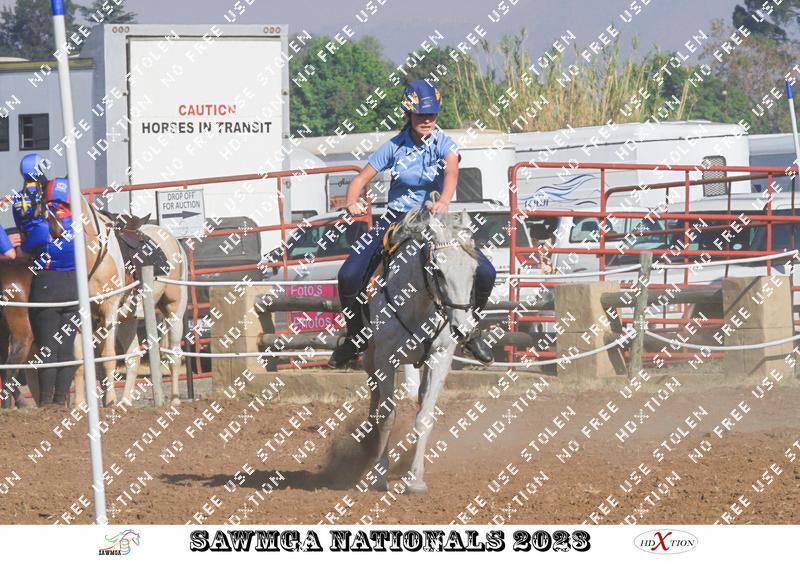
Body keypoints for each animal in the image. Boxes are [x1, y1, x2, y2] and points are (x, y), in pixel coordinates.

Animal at [72, 196, 188, 407]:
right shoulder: (78, 316)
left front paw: (110, 402)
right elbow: (80, 359)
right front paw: (79, 406)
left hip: (175, 309)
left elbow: (108, 356)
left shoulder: (109, 311)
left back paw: (175, 400)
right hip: (129, 319)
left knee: (174, 354)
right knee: (133, 356)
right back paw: (126, 402)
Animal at [355, 205, 479, 494]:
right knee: (375, 397)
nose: (463, 330)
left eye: (474, 272)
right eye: (439, 271)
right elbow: (387, 416)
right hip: (370, 356)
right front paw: (379, 475)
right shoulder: (385, 359)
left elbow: (425, 415)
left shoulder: (441, 357)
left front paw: (416, 477)